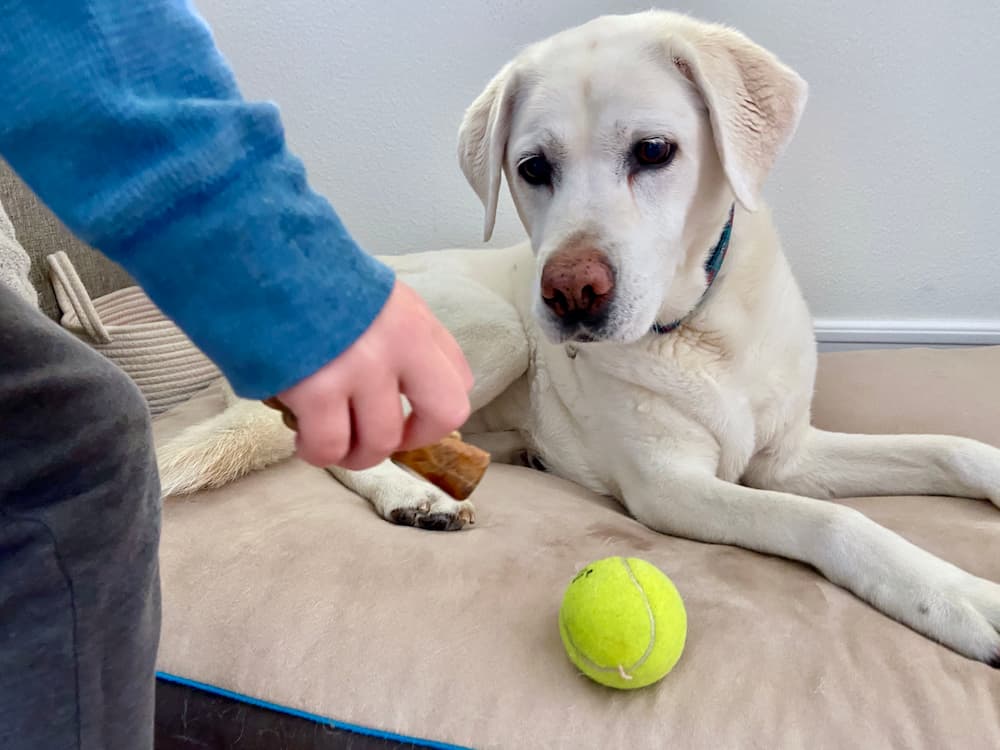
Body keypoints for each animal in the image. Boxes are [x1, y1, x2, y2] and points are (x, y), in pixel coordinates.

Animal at [160, 11, 1000, 668]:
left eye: (655, 152)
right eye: (532, 167)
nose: (570, 293)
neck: (704, 331)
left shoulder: (789, 457)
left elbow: (950, 449)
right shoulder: (673, 490)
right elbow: (831, 521)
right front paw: (956, 594)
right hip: (494, 330)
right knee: (335, 447)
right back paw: (414, 497)